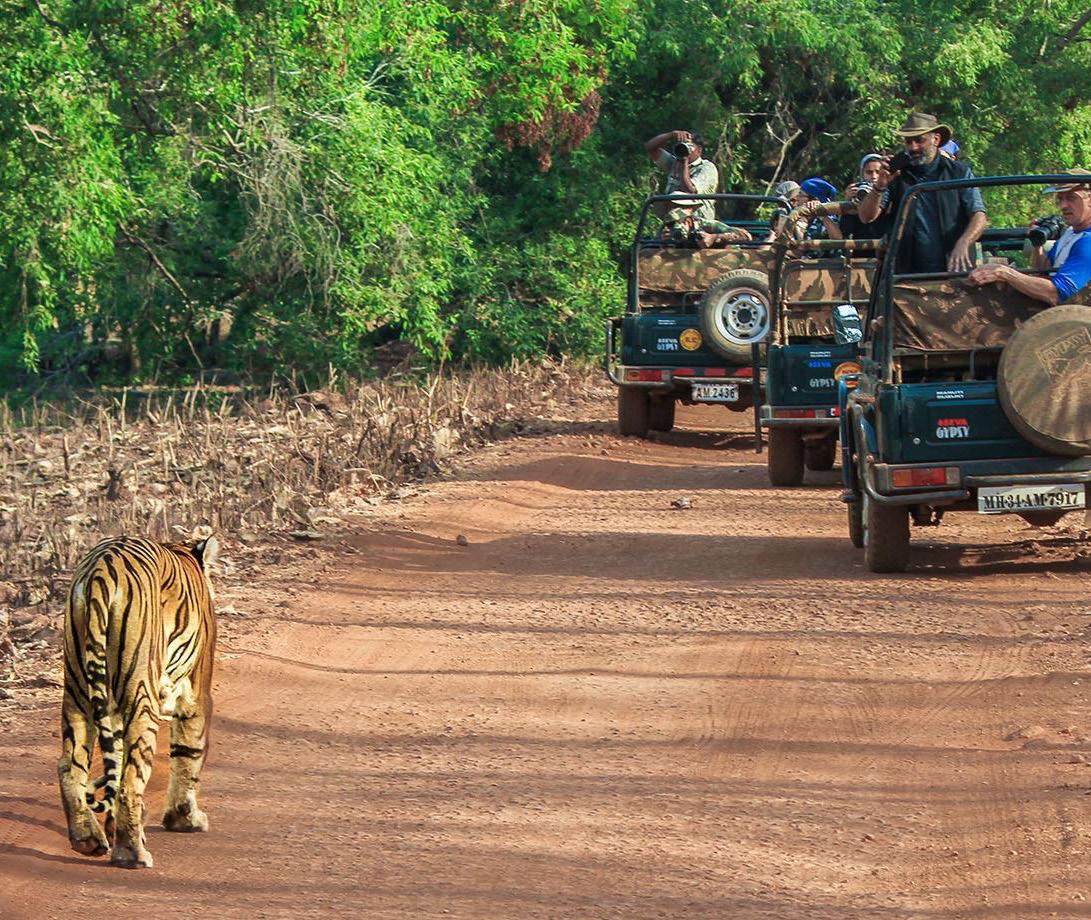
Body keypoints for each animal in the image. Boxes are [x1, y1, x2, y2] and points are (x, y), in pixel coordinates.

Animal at [58, 535, 218, 868]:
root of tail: (100, 570)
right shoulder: (197, 691)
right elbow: (189, 752)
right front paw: (185, 819)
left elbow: (114, 762)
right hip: (141, 692)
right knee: (132, 778)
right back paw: (131, 854)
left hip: (77, 688)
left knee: (70, 765)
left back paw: (88, 839)